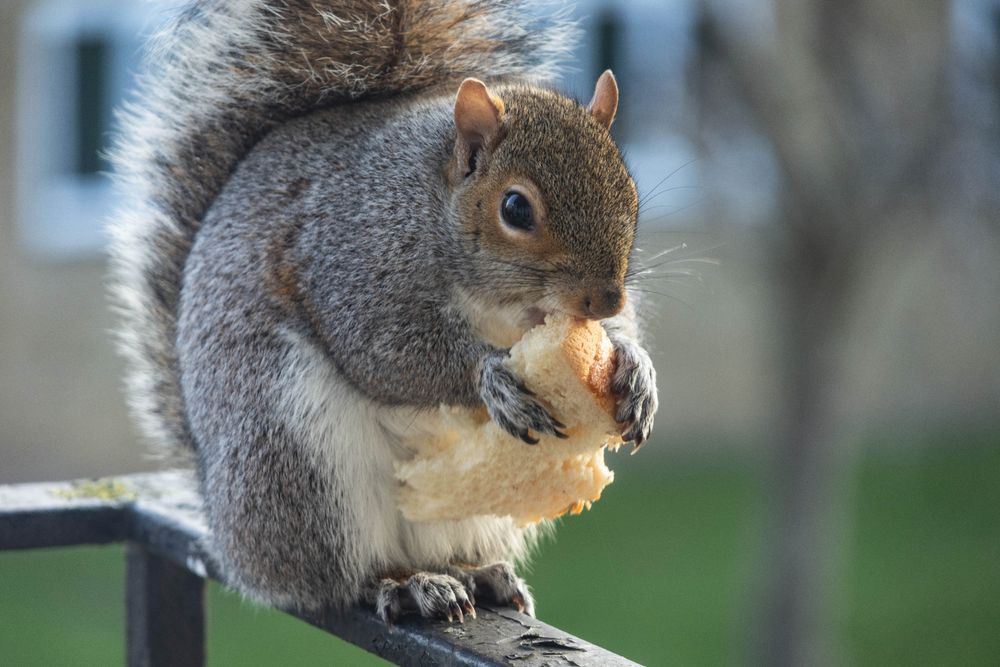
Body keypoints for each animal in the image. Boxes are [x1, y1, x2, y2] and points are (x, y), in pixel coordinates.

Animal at [109, 0, 658, 623]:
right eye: (516, 208)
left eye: (629, 192)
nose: (607, 298)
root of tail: (227, 529)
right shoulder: (352, 262)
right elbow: (388, 352)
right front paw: (492, 377)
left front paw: (635, 369)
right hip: (294, 454)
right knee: (339, 575)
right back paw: (405, 584)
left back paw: (476, 573)